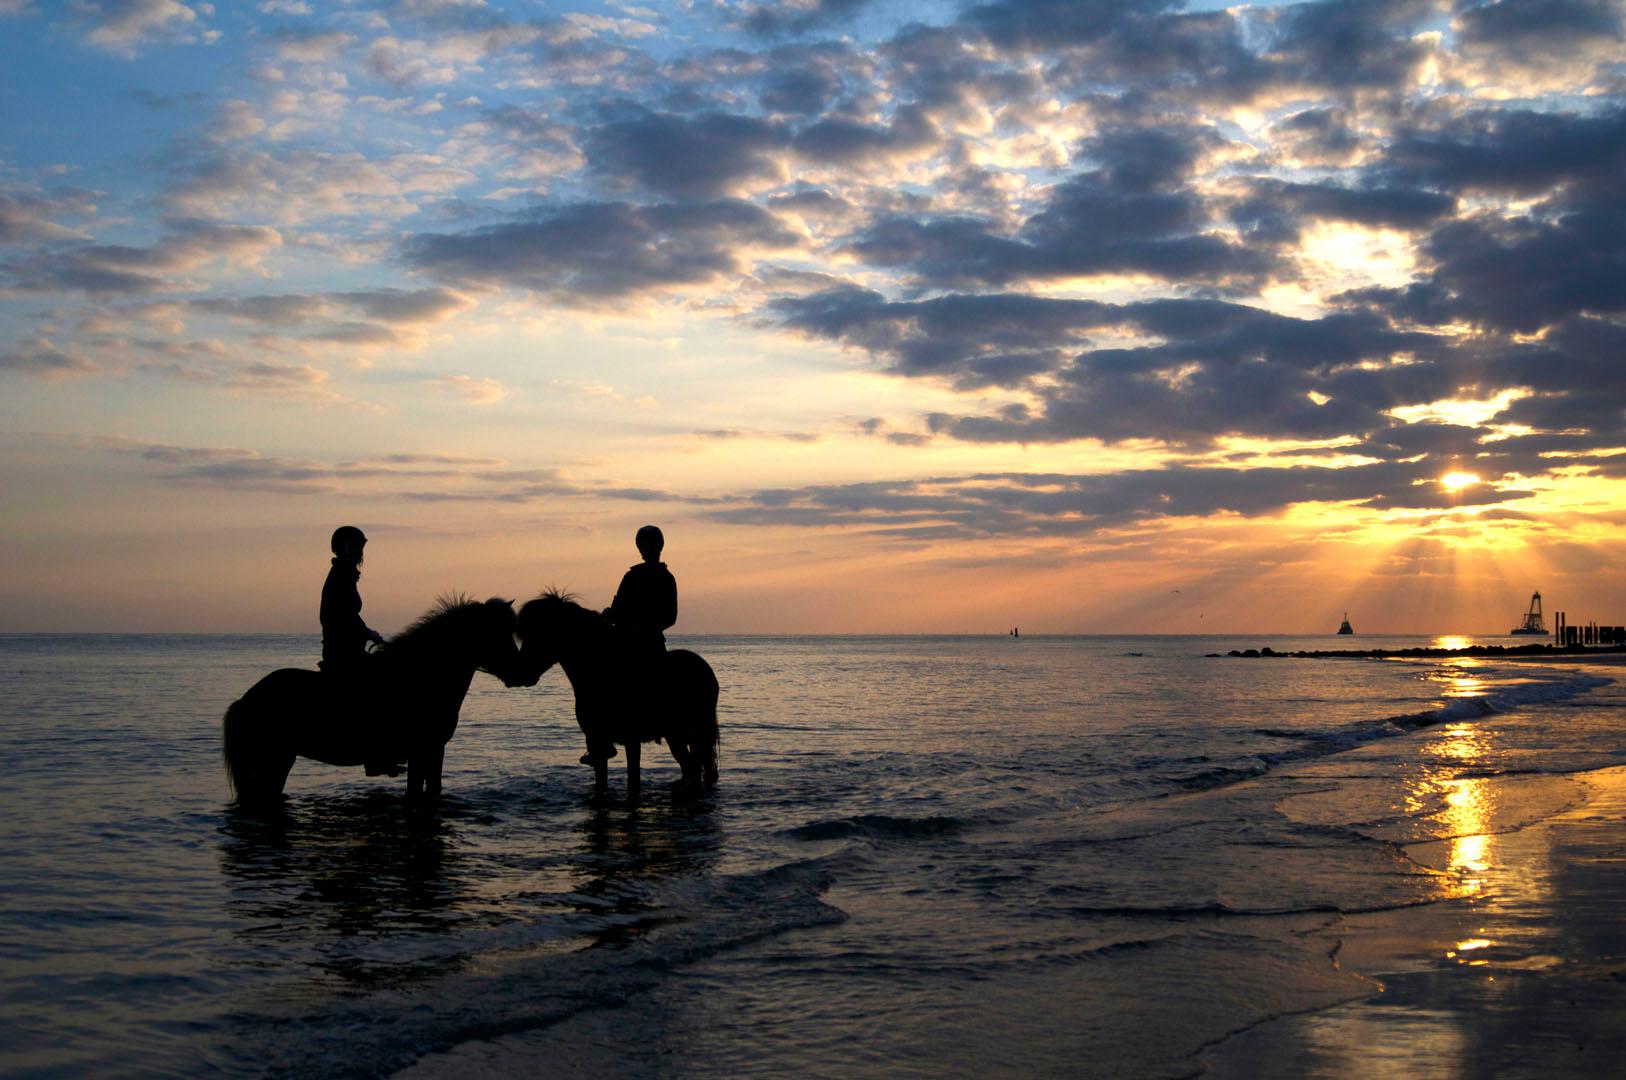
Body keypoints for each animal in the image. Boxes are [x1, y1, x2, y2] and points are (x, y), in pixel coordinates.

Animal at [223, 596, 527, 805]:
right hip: (273, 760)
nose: (519, 671)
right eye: (494, 633)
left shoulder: (432, 751)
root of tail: (245, 700)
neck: (422, 675)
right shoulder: (423, 750)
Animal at [515, 590, 719, 801]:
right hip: (677, 735)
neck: (606, 671)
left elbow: (633, 782)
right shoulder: (595, 741)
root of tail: (704, 668)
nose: (520, 672)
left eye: (542, 632)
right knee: (692, 767)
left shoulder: (631, 739)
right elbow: (601, 784)